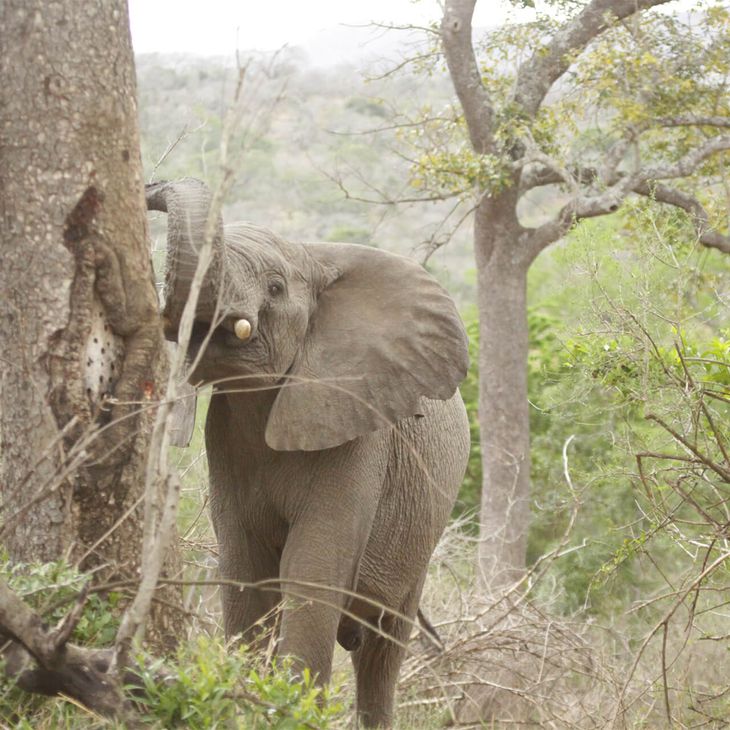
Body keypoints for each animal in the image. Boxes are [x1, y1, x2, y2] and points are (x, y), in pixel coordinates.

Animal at [146, 178, 470, 727]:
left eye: (276, 287)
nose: (153, 186)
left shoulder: (358, 437)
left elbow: (311, 573)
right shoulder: (225, 442)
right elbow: (245, 574)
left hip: (421, 534)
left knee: (381, 652)